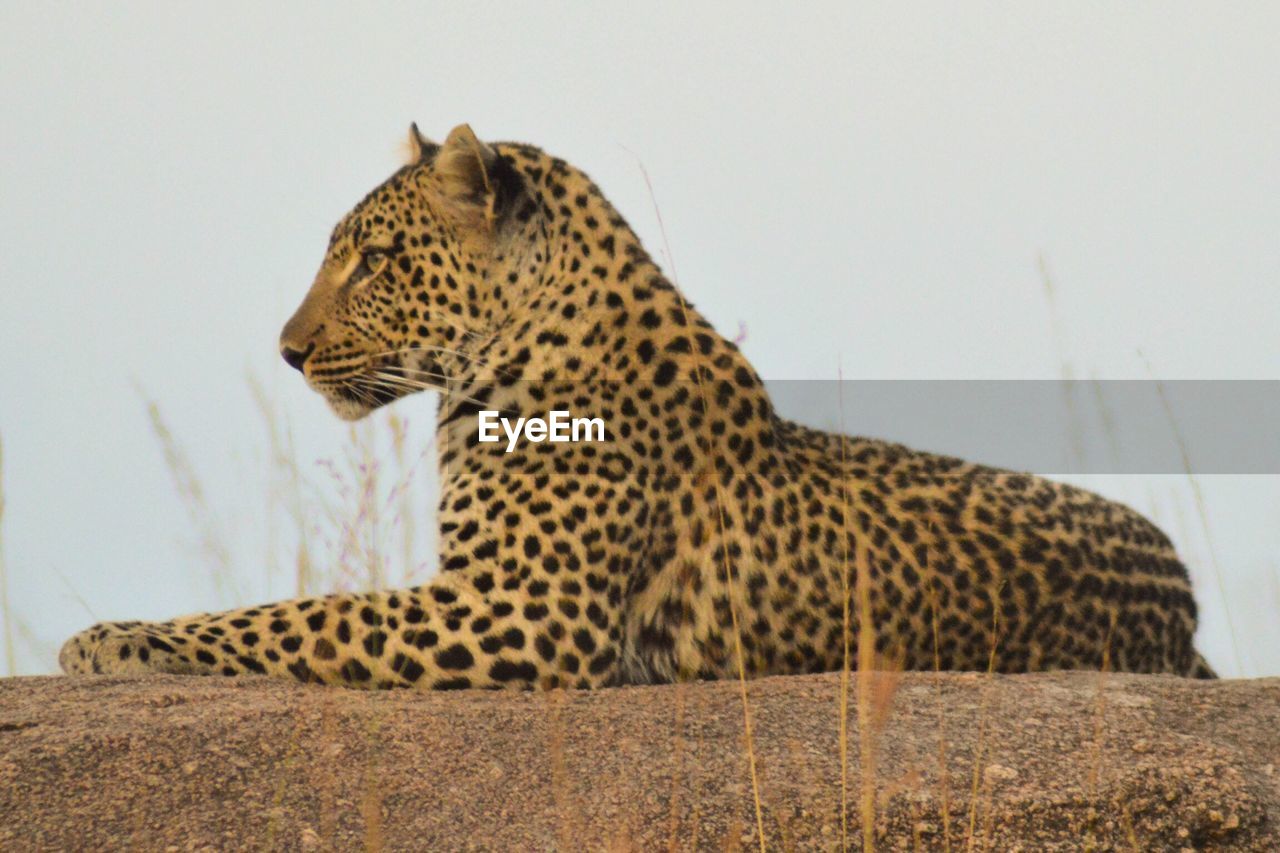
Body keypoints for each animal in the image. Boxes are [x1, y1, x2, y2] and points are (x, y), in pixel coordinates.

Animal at [60, 122, 1213, 686]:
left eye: (374, 259)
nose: (288, 352)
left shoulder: (525, 609)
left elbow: (305, 615)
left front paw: (111, 639)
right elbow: (305, 610)